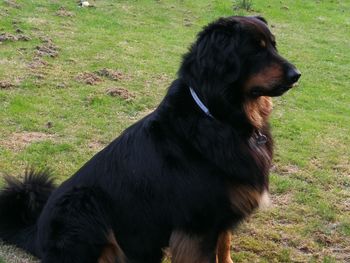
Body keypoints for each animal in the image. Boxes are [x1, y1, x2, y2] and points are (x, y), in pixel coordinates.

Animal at [0, 16, 300, 263]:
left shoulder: (221, 216)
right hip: (83, 204)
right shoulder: (198, 224)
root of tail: (35, 233)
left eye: (274, 46)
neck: (217, 116)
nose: (297, 75)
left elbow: (224, 248)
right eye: (256, 49)